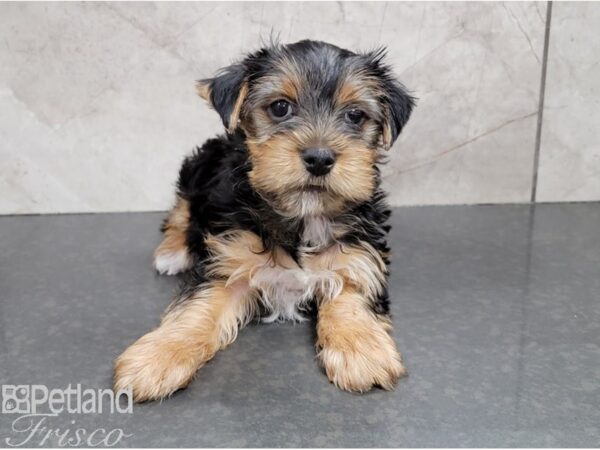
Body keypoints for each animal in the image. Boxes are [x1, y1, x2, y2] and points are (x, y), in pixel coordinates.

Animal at [113, 40, 412, 402]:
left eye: (355, 115)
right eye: (280, 107)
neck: (302, 215)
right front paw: (157, 358)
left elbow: (352, 292)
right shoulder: (229, 261)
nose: (319, 158)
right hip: (197, 168)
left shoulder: (358, 255)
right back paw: (172, 252)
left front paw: (361, 350)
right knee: (181, 211)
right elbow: (198, 308)